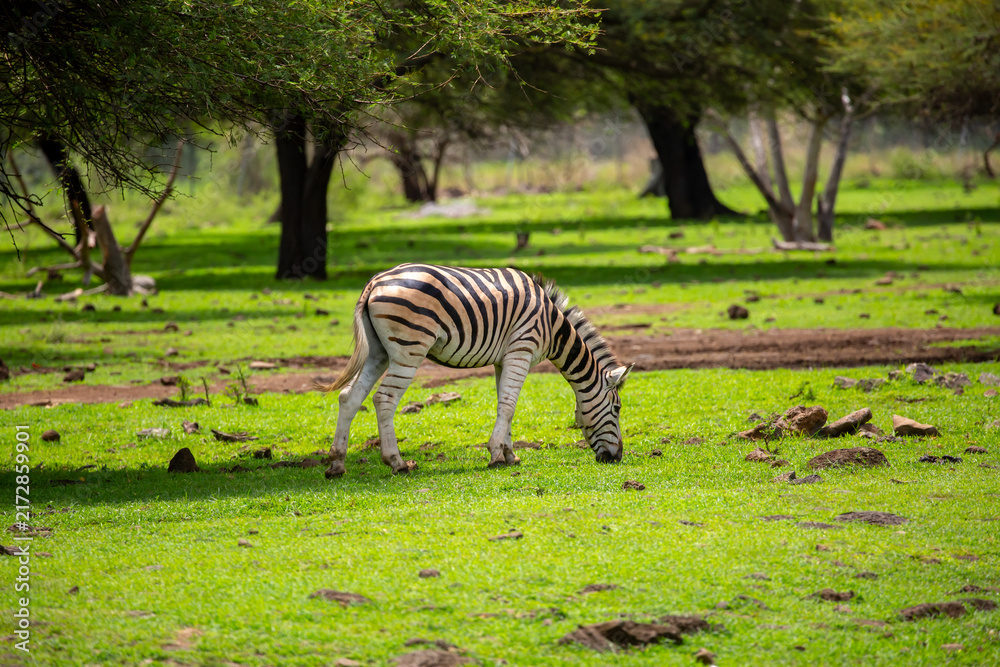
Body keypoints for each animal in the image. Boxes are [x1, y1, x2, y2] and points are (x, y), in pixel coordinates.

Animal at [320, 263, 633, 477]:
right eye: (617, 409)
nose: (616, 457)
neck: (553, 327)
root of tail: (374, 282)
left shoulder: (504, 359)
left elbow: (504, 405)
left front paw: (509, 455)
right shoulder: (521, 350)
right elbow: (508, 404)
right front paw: (496, 455)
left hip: (378, 351)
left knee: (349, 397)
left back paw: (336, 463)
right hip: (409, 350)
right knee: (384, 399)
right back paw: (397, 462)